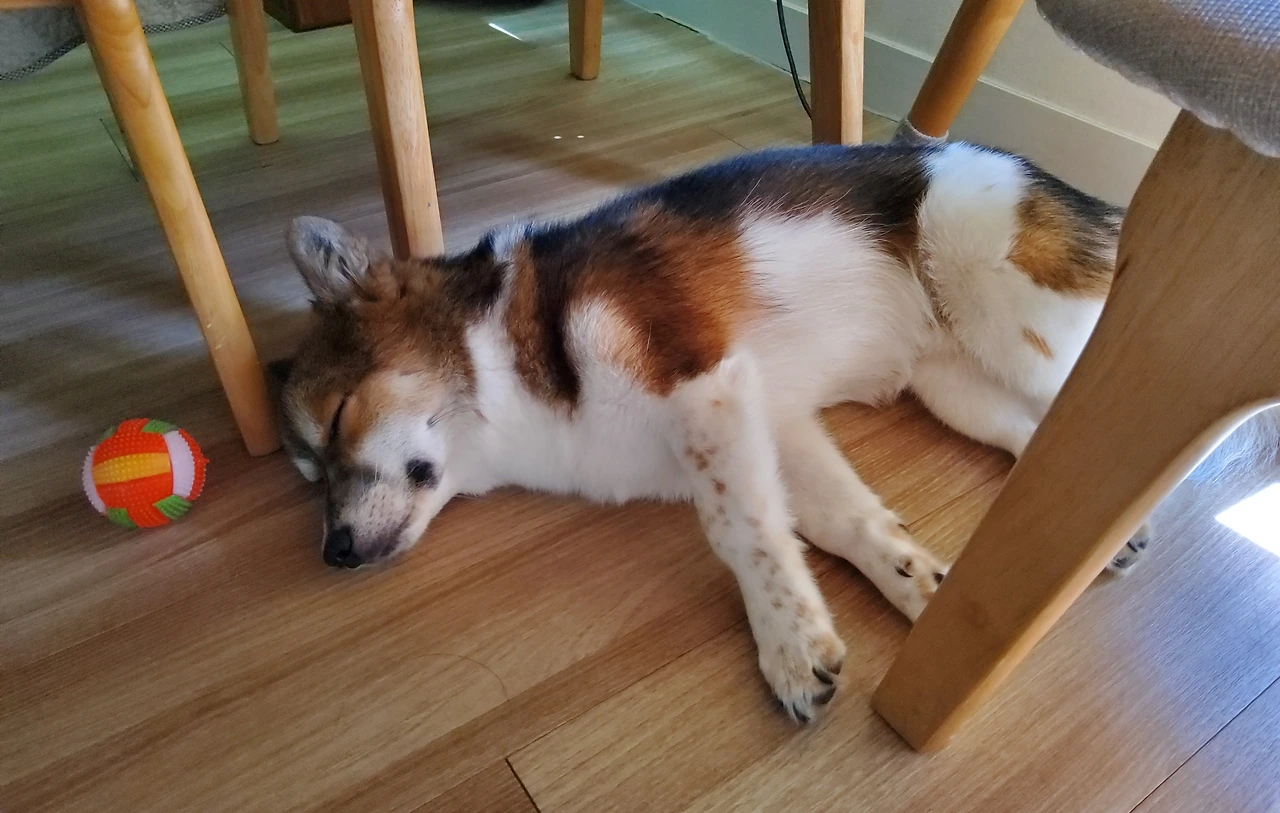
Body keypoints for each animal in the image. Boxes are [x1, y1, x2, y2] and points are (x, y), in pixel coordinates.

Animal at [274, 141, 1157, 722]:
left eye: (342, 416)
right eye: (311, 471)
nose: (334, 552)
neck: (507, 353)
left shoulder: (705, 386)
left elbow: (740, 530)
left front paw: (786, 644)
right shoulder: (776, 421)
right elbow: (843, 524)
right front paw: (921, 590)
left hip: (1007, 313)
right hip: (954, 384)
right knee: (1048, 428)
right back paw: (1102, 533)